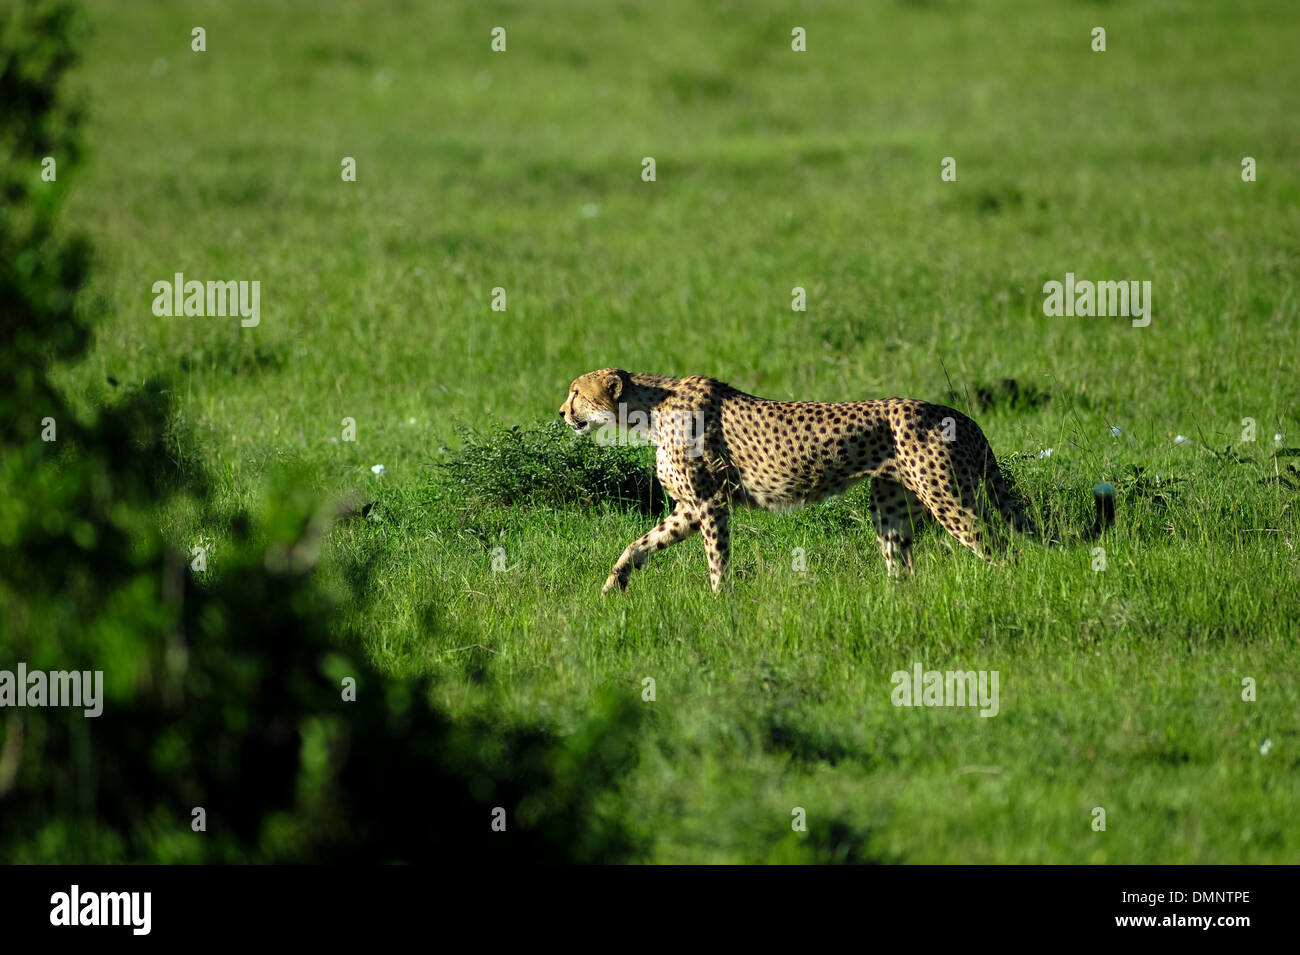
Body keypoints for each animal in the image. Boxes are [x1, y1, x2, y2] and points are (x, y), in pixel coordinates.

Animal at [559, 369, 1118, 595]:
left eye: (575, 391)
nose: (561, 411)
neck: (648, 407)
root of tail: (960, 413)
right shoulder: (687, 509)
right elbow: (637, 544)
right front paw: (613, 585)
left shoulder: (712, 502)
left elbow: (716, 561)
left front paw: (721, 607)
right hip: (890, 504)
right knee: (902, 564)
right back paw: (894, 605)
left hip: (948, 496)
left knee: (998, 546)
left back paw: (1005, 590)